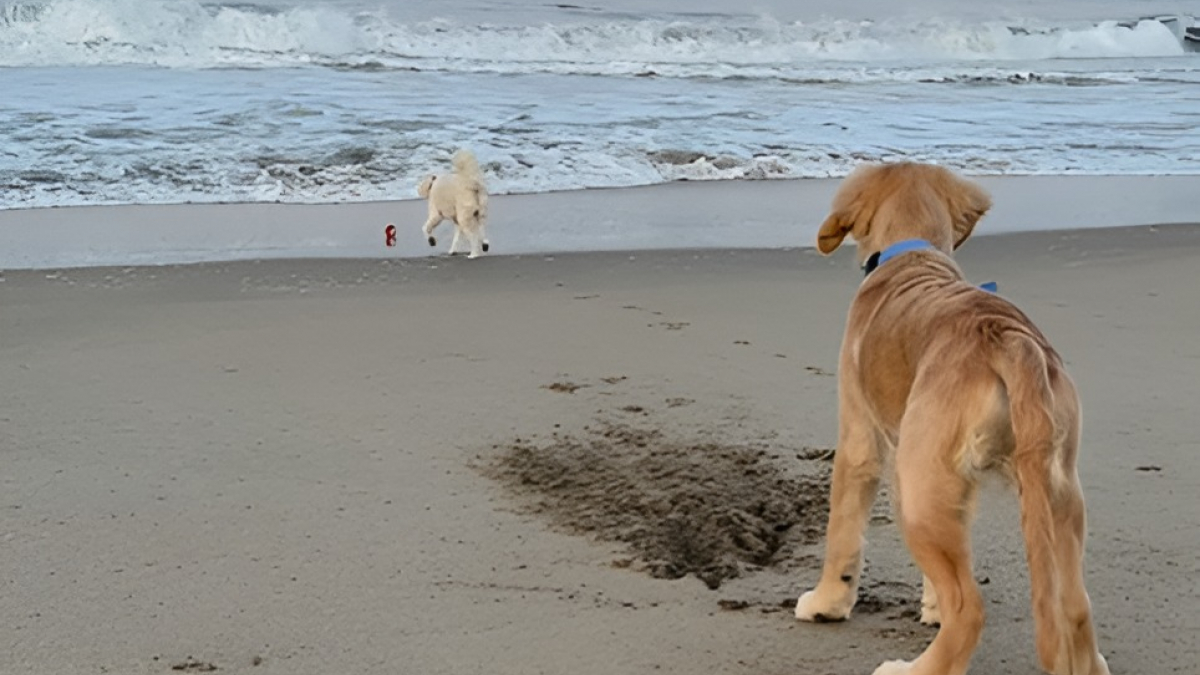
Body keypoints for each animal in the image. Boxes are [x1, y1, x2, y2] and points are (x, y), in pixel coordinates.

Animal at [792, 163, 1108, 672]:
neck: (912, 253)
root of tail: (1006, 338)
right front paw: (931, 607)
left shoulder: (861, 437)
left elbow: (843, 532)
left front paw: (826, 604)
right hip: (1058, 493)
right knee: (1075, 609)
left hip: (922, 488)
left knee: (970, 610)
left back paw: (913, 668)